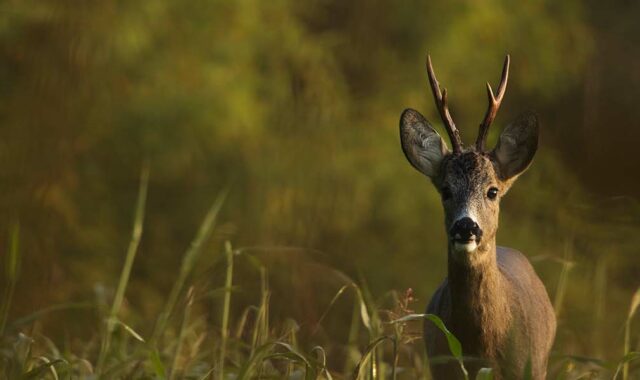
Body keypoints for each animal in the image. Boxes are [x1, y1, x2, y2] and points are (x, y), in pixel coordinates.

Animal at [400, 55, 556, 378]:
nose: (466, 226)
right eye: (446, 190)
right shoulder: (441, 366)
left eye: (493, 191)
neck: (480, 350)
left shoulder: (530, 367)